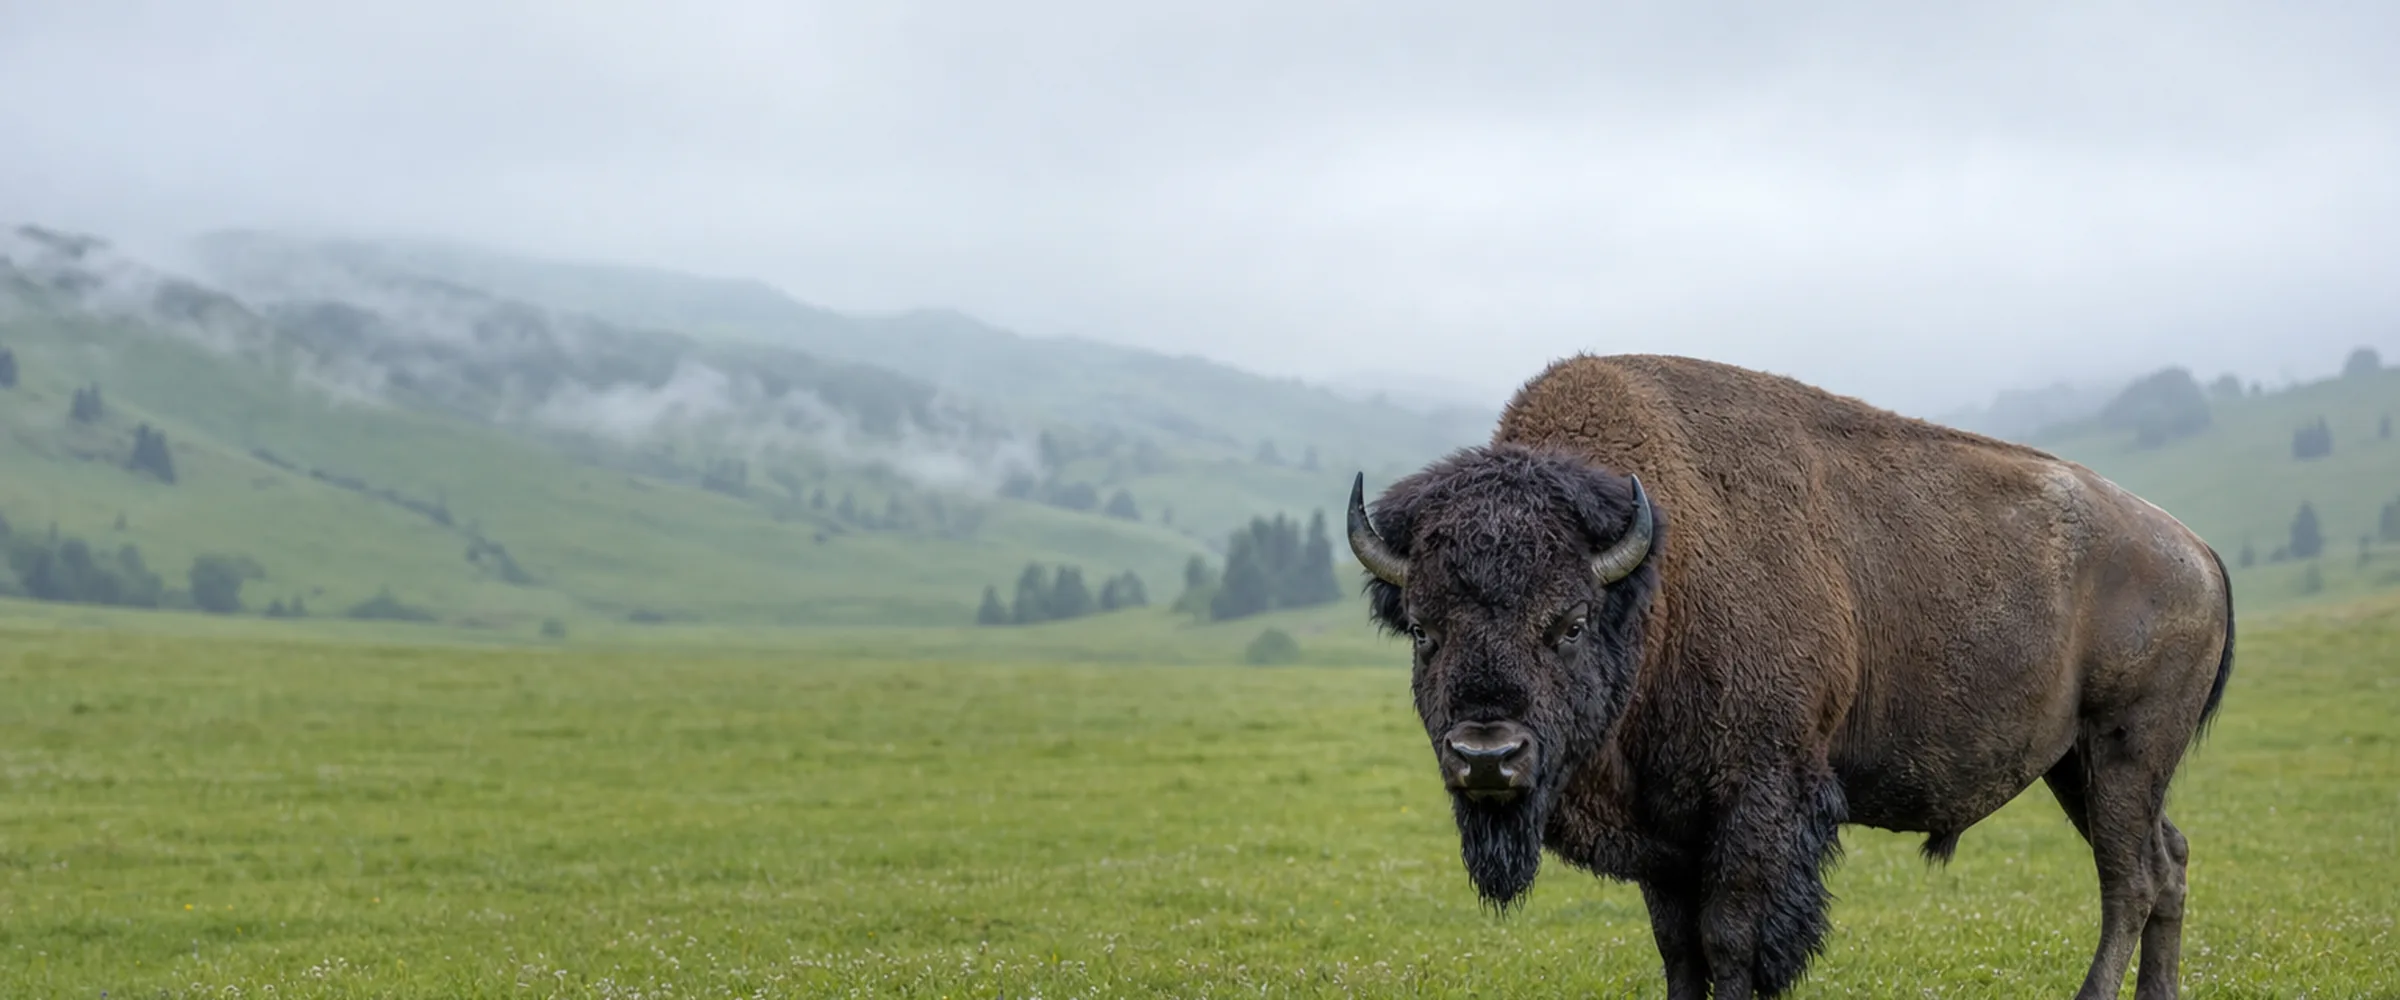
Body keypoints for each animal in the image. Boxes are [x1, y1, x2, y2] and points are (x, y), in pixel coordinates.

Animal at [1347, 353, 2234, 1000]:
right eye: (1423, 630)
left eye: (1568, 624)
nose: (1487, 756)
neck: (1658, 577)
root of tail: (2196, 549)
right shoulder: (1664, 832)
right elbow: (1678, 949)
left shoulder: (1756, 803)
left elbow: (1732, 941)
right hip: (2078, 766)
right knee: (2170, 861)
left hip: (2124, 751)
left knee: (2131, 880)